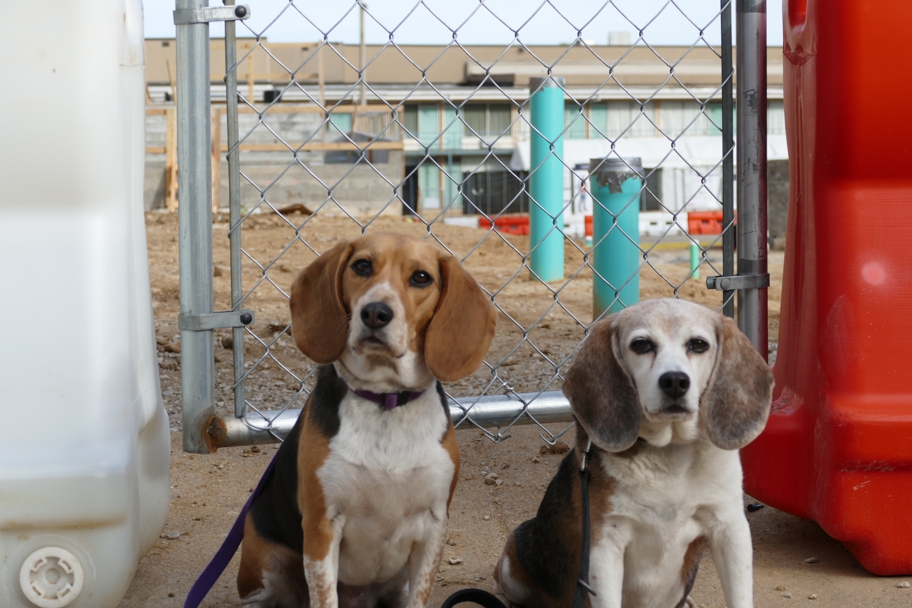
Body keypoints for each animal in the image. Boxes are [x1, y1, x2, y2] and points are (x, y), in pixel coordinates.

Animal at [233, 233, 492, 608]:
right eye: (362, 266)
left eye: (421, 277)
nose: (374, 312)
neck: (386, 401)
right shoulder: (322, 527)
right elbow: (324, 596)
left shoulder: (434, 527)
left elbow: (420, 595)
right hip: (266, 557)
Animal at [496, 300, 772, 608]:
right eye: (641, 344)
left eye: (698, 344)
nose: (675, 381)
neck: (669, 454)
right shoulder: (605, 545)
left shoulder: (730, 529)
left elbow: (740, 596)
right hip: (511, 562)